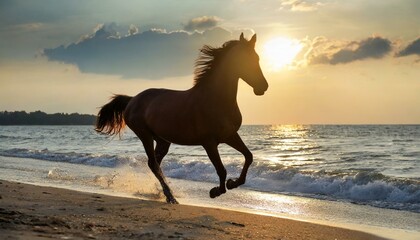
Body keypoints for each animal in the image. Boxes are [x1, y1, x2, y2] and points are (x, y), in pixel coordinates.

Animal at [94, 32, 268, 203]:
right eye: (244, 60)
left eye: (257, 58)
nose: (263, 87)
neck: (216, 100)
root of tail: (132, 99)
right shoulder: (209, 143)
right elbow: (221, 170)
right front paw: (215, 191)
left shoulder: (230, 135)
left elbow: (249, 156)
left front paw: (233, 183)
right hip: (145, 135)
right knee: (153, 163)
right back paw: (170, 196)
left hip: (162, 140)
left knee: (155, 163)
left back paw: (166, 194)